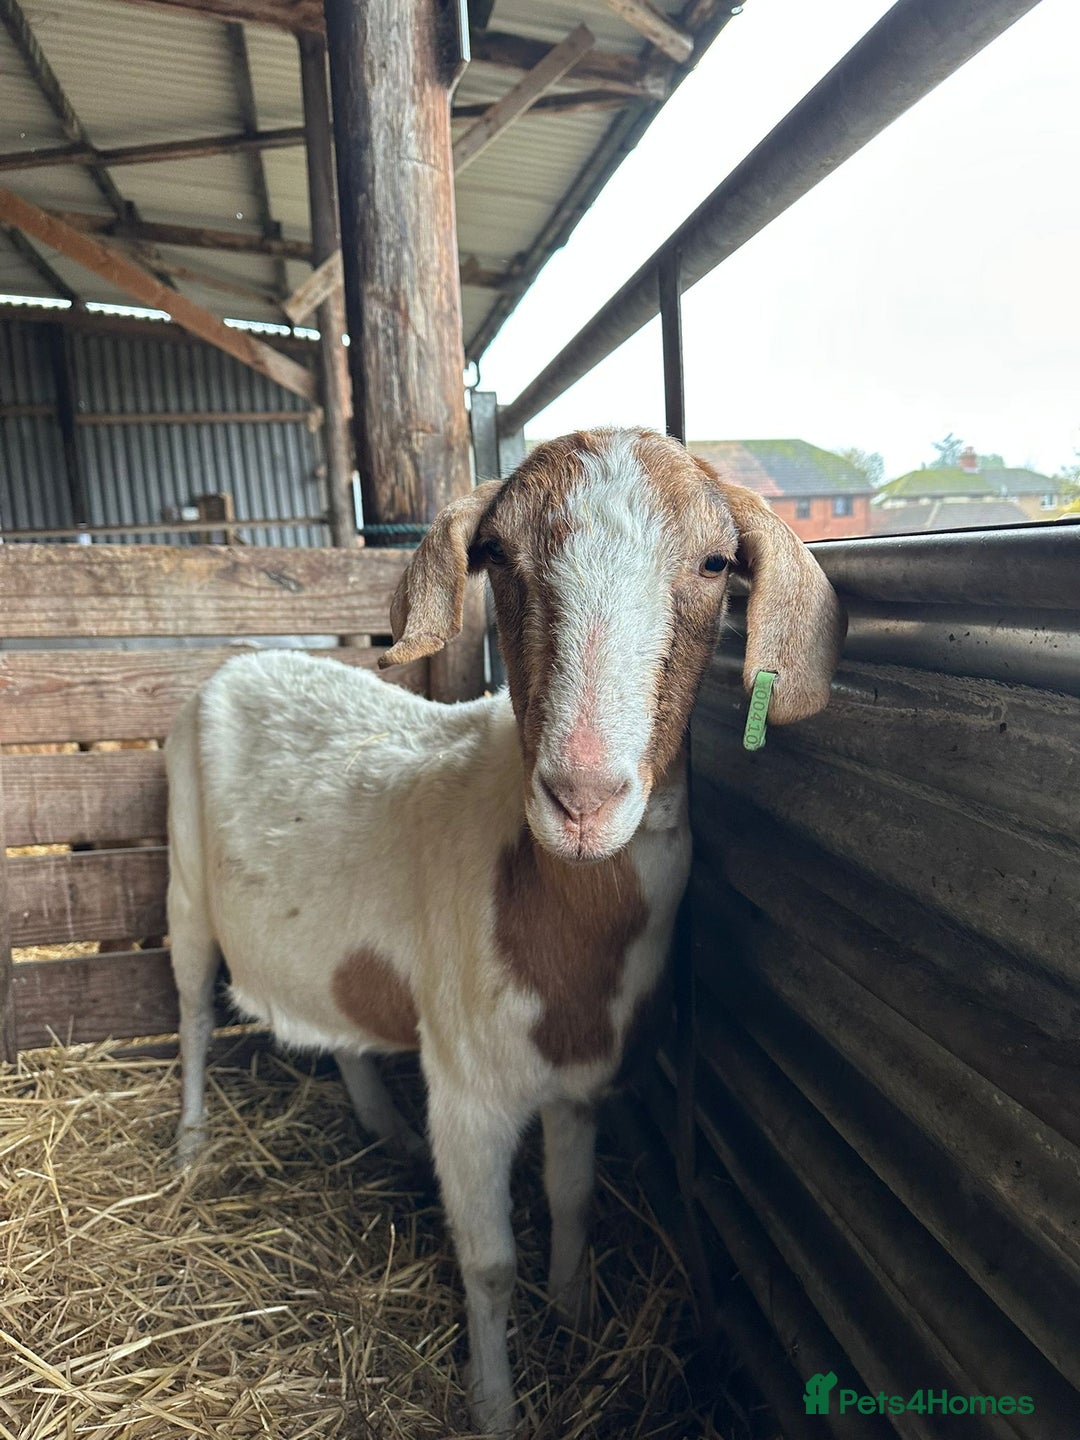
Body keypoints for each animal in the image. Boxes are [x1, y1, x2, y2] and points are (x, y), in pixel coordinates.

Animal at [166, 427, 844, 1435]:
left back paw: (382, 1128)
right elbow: (487, 1266)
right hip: (180, 882)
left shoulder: (579, 1080)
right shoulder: (468, 1092)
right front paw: (494, 1403)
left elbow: (573, 1200)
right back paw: (190, 1143)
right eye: (498, 556)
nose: (583, 798)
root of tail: (240, 659)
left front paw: (575, 1310)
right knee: (193, 1016)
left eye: (717, 564)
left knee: (335, 1025)